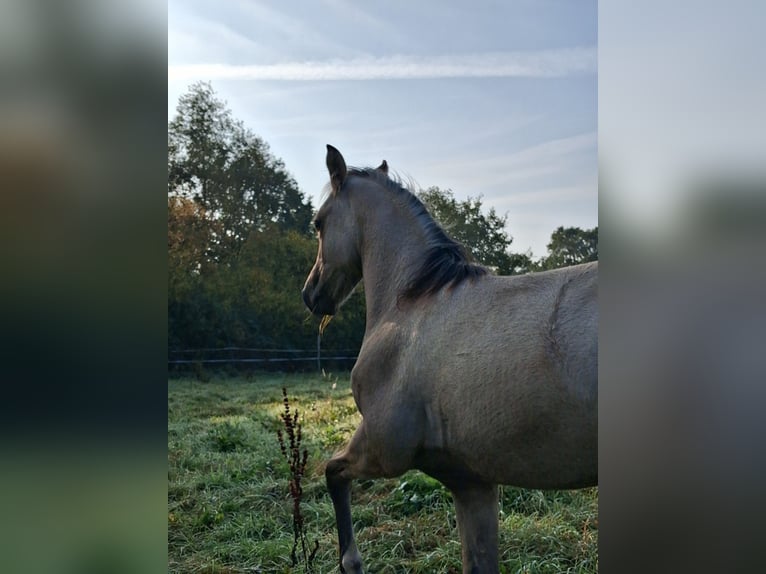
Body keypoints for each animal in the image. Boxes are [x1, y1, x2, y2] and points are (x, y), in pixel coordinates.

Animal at [302, 145, 597, 574]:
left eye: (318, 223)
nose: (311, 295)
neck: (412, 303)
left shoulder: (382, 449)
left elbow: (332, 472)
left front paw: (351, 562)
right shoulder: (470, 482)